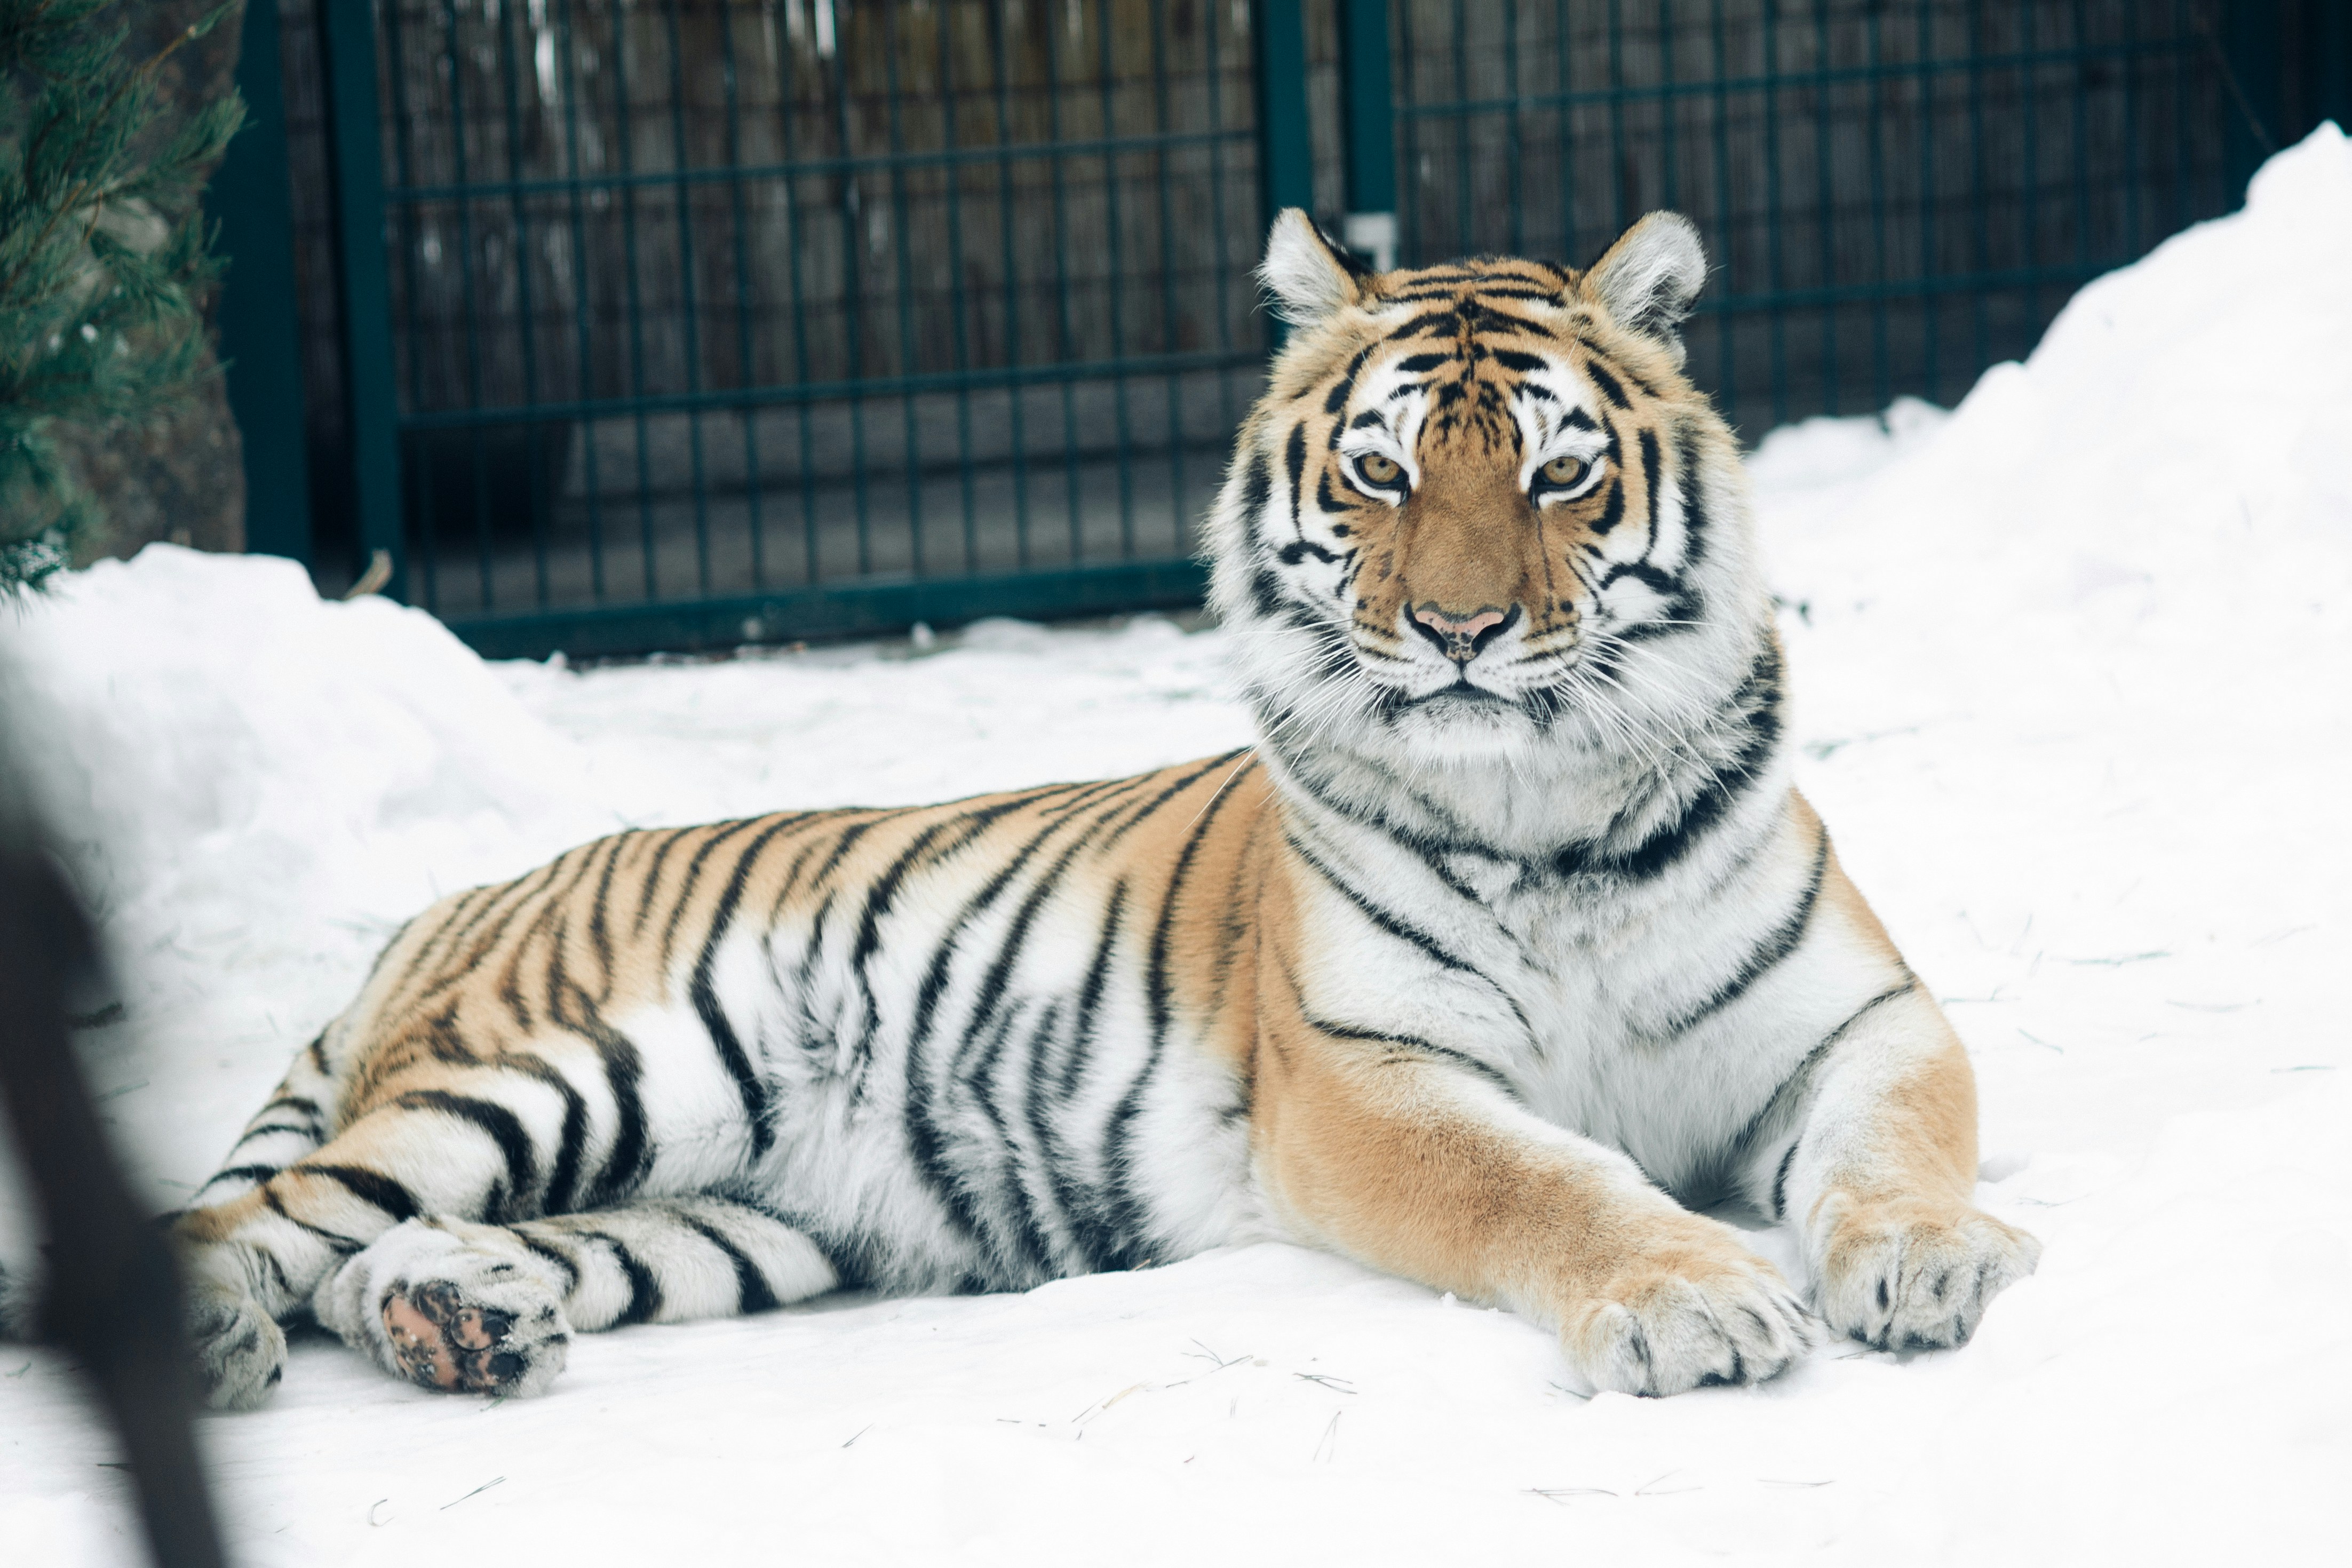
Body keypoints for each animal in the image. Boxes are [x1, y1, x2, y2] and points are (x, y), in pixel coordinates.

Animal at [147, 209, 2038, 1409]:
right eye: (1381, 473)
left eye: (1559, 472)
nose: (1457, 631)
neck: (1549, 805)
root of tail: (440, 910)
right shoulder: (1367, 1080)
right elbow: (1548, 1183)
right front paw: (1694, 1299)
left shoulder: (1857, 1016)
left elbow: (1892, 1144)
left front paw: (1930, 1262)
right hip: (568, 1072)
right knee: (246, 1222)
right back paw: (226, 1341)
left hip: (731, 1219)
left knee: (367, 1257)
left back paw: (457, 1321)